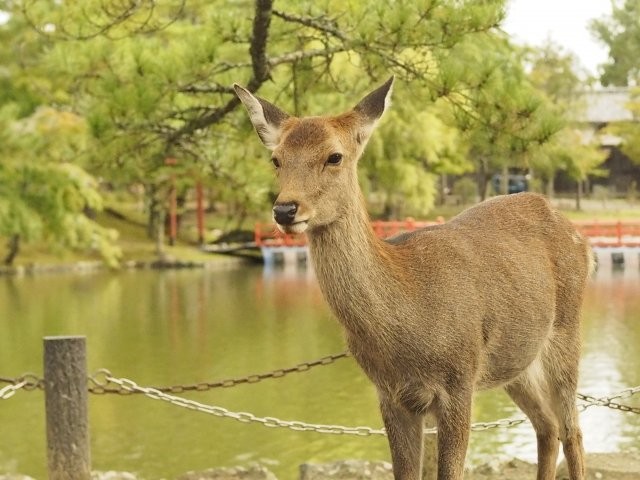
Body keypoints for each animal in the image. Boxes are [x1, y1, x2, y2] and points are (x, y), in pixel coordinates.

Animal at [234, 77, 592, 478]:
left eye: (334, 156)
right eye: (276, 158)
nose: (284, 209)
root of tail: (581, 238)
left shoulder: (459, 381)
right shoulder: (391, 395)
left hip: (566, 328)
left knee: (572, 430)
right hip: (516, 362)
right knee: (546, 425)